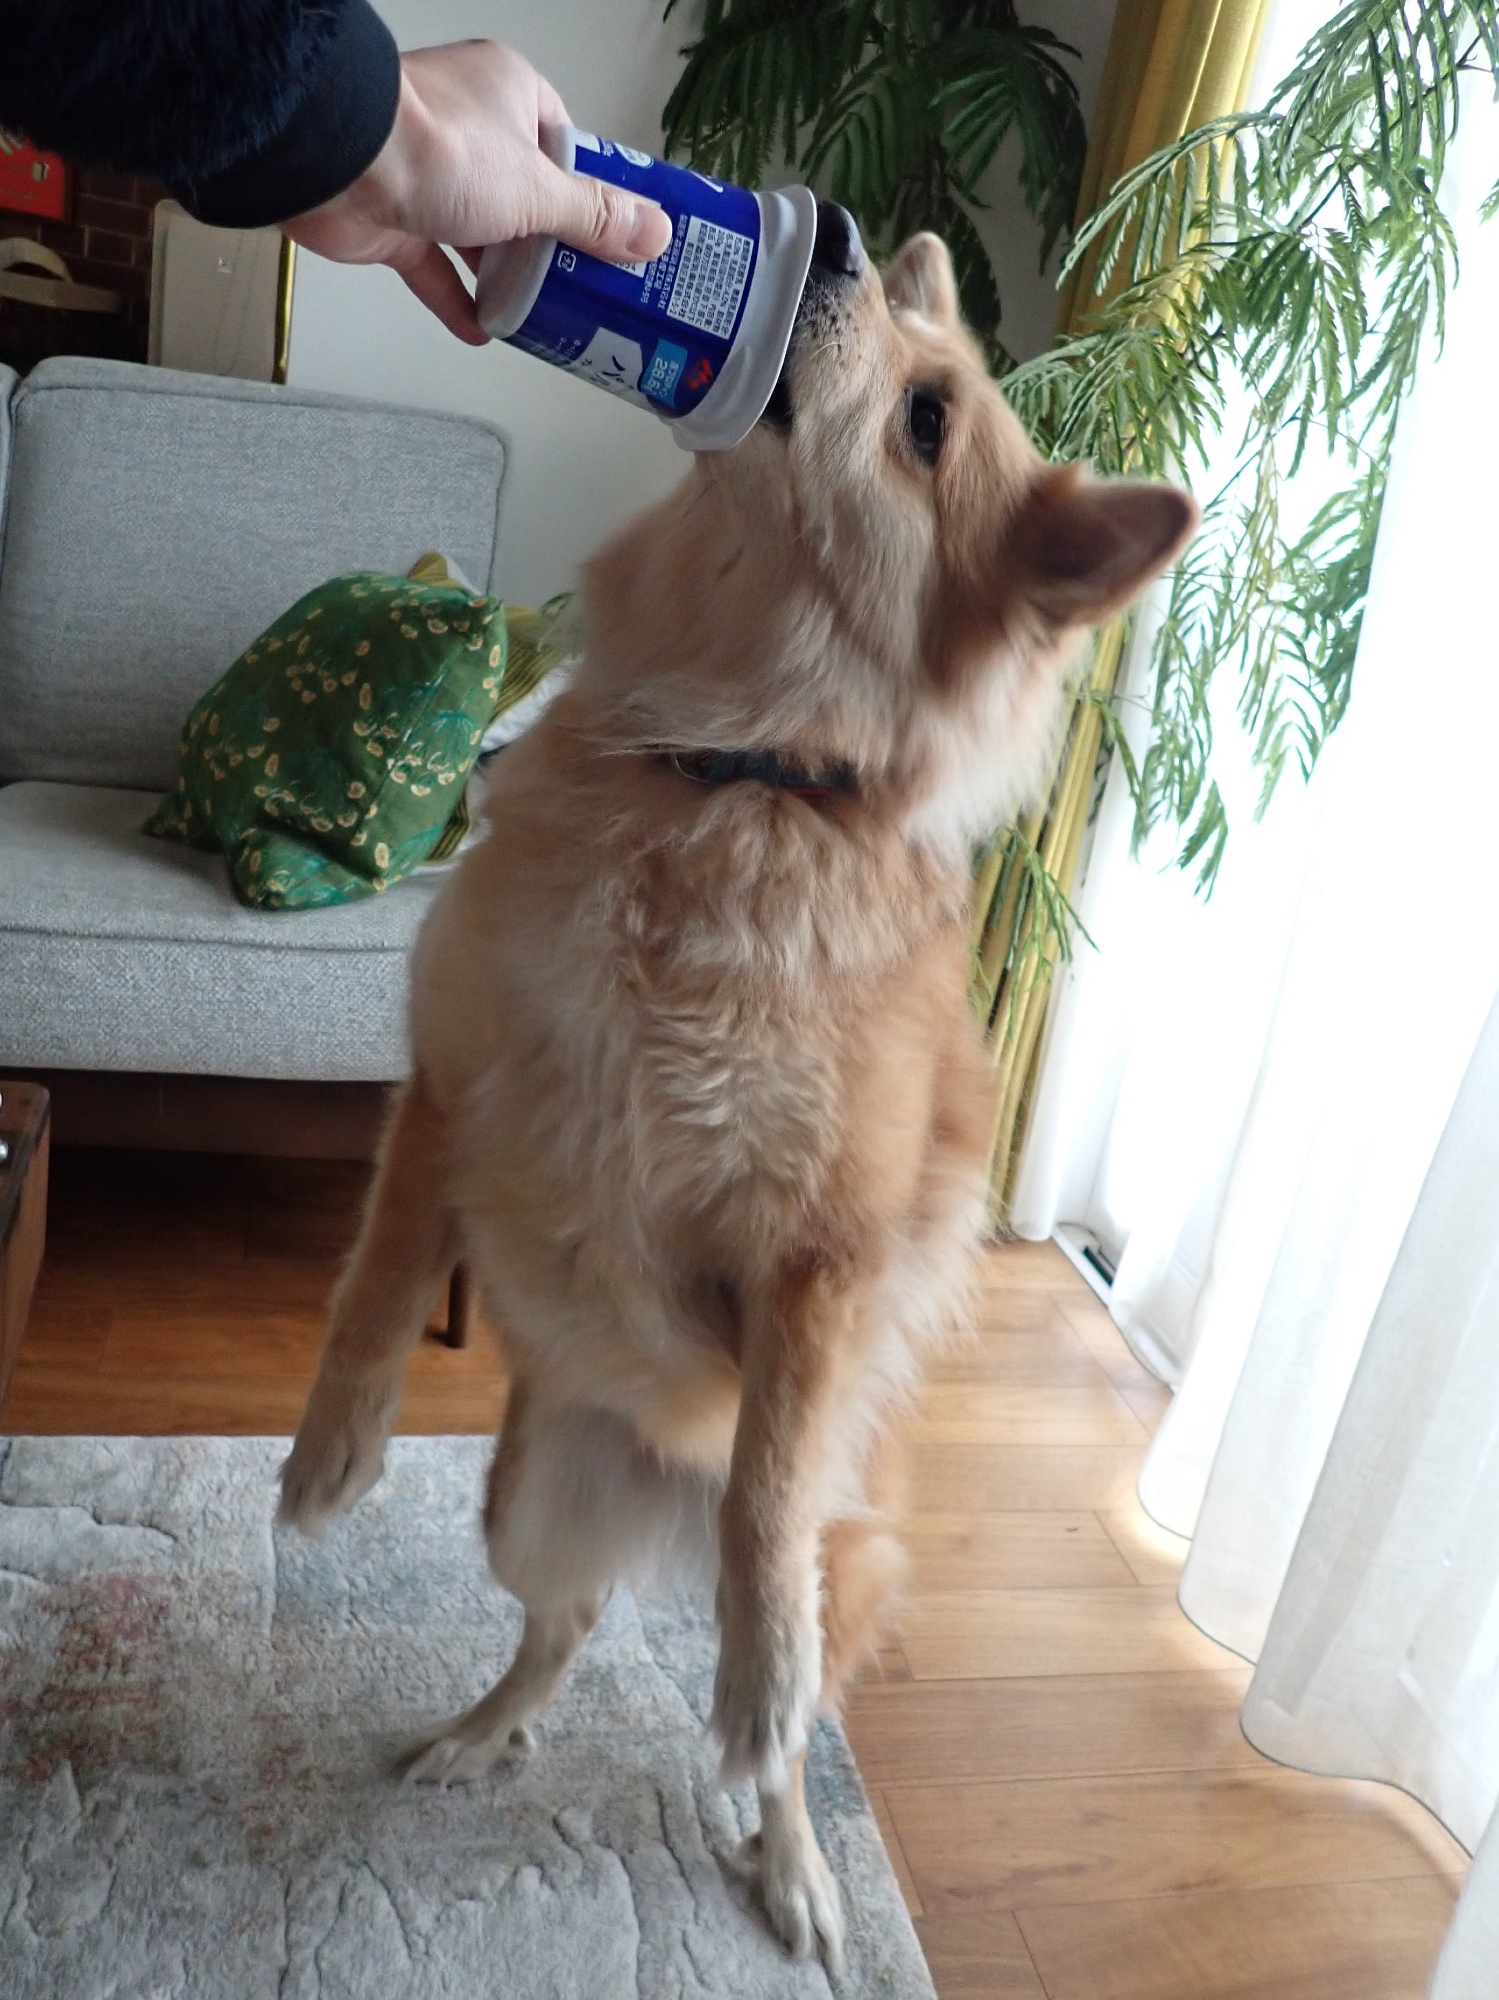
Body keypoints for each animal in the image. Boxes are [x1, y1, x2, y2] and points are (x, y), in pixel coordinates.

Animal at [278, 207, 1195, 1974]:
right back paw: (479, 1735)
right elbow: (372, 1274)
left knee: (775, 1714)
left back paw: (794, 1867)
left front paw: (755, 1691)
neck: (718, 776)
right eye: (895, 335)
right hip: (521, 1502)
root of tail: (649, 1501)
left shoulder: (815, 1262)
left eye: (927, 423)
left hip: (826, 1567)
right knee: (561, 1630)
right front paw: (328, 1458)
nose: (823, 229)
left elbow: (769, 1492)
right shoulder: (449, 1085)